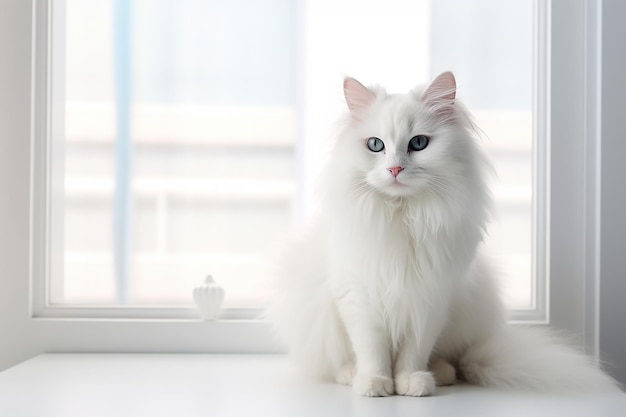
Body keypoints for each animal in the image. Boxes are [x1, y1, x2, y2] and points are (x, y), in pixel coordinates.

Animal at [266, 72, 616, 396]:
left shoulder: (430, 299)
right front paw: (375, 384)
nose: (394, 169)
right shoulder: (360, 297)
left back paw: (439, 374)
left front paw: (410, 383)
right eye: (376, 145)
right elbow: (372, 350)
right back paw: (351, 375)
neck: (403, 218)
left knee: (454, 361)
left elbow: (413, 352)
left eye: (418, 143)